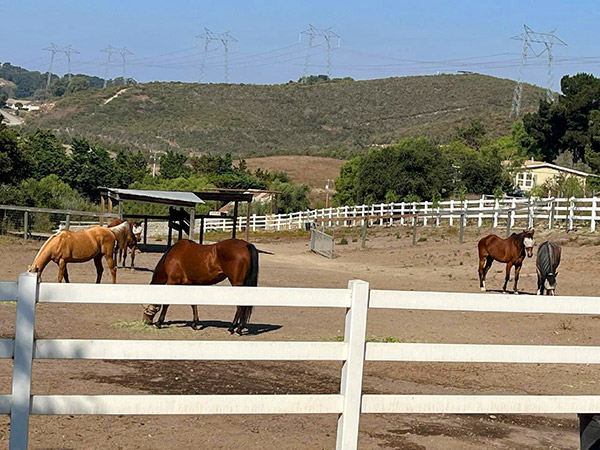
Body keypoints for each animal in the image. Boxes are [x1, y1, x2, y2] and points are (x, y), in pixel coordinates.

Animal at [142, 239, 274, 334]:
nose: (145, 321)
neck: (173, 256)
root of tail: (246, 245)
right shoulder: (190, 284)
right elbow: (193, 304)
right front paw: (195, 324)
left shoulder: (172, 282)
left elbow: (166, 303)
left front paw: (159, 323)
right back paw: (239, 328)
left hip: (237, 283)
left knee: (240, 305)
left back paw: (233, 328)